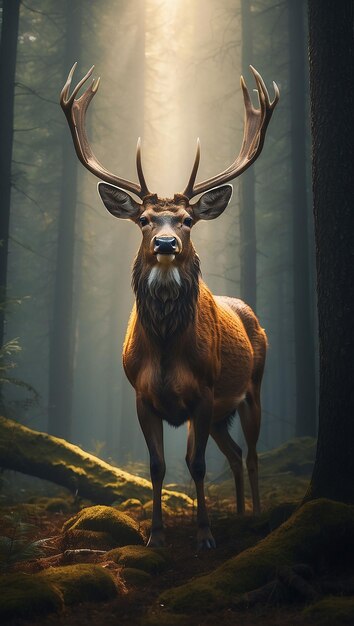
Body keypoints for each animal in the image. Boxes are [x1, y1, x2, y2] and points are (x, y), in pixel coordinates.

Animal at [59, 61, 278, 544]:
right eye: (143, 219)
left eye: (188, 220)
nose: (164, 243)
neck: (163, 350)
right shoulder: (142, 396)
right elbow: (158, 467)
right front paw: (156, 533)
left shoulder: (204, 392)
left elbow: (195, 465)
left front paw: (204, 533)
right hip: (221, 414)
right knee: (235, 453)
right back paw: (237, 513)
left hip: (250, 389)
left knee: (253, 454)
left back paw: (253, 516)